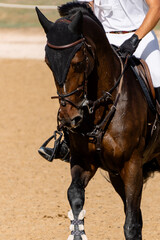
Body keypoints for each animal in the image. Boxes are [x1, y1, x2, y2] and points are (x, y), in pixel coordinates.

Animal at [36, 2, 160, 240]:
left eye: (78, 62)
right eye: (48, 62)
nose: (70, 119)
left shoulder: (132, 165)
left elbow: (131, 224)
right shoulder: (86, 161)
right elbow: (75, 197)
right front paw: (77, 231)